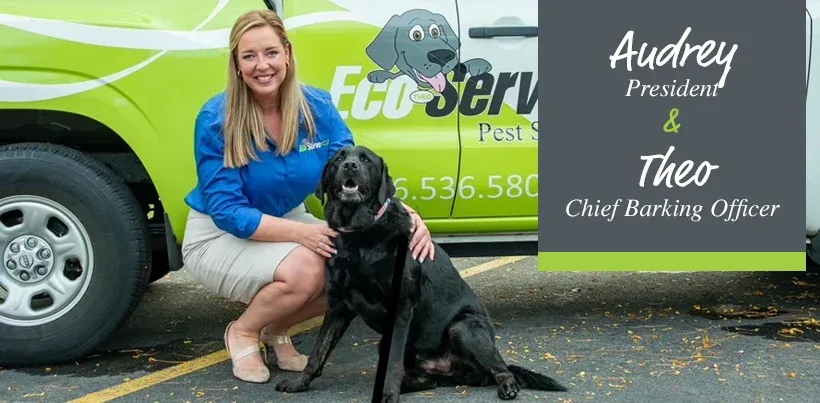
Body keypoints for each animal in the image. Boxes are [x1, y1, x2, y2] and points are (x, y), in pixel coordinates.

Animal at [276, 147, 564, 402]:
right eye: (338, 158)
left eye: (366, 159)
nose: (350, 166)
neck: (361, 235)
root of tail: (450, 371)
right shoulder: (338, 305)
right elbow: (318, 351)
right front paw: (300, 383)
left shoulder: (400, 307)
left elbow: (392, 362)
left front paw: (388, 396)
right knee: (428, 380)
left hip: (462, 328)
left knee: (501, 369)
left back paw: (507, 385)